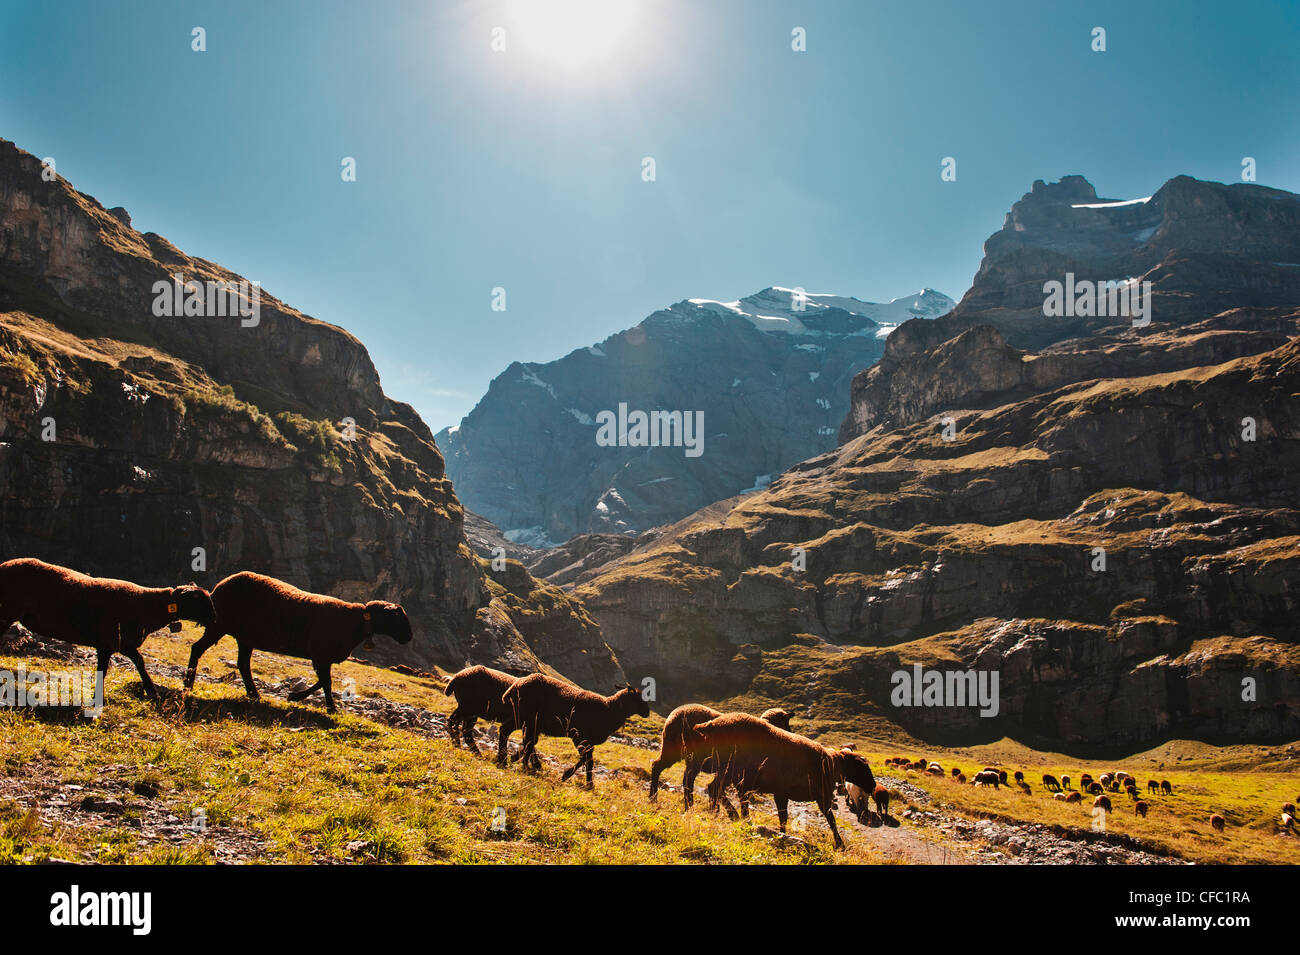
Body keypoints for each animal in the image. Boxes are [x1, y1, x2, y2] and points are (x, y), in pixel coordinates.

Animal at [0, 556, 215, 706]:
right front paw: (98, 698)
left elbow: (138, 663)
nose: (214, 618)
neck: (148, 606)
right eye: (199, 600)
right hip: (7, 611)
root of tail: (4, 565)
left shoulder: (120, 644)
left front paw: (152, 691)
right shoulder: (109, 642)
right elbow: (109, 669)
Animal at [180, 571, 408, 712]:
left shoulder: (321, 655)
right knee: (197, 649)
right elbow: (326, 682)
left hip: (245, 637)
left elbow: (323, 681)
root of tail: (218, 587)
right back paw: (188, 684)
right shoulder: (321, 653)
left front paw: (297, 697)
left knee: (243, 664)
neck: (357, 622)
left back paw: (254, 694)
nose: (409, 637)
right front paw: (328, 707)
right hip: (219, 625)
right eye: (398, 618)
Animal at [504, 670, 650, 789]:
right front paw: (574, 778)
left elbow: (588, 759)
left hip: (526, 720)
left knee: (524, 740)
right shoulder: (579, 736)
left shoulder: (587, 740)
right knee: (515, 735)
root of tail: (514, 686)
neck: (609, 709)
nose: (647, 712)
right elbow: (587, 759)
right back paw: (513, 761)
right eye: (638, 698)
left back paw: (515, 760)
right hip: (524, 716)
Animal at [691, 717, 873, 852]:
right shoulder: (821, 796)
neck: (831, 764)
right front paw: (839, 843)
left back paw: (721, 813)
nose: (872, 786)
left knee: (714, 789)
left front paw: (782, 835)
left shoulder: (781, 793)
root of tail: (709, 725)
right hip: (730, 770)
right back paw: (728, 814)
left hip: (729, 772)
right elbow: (831, 820)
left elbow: (783, 817)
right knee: (716, 789)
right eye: (863, 767)